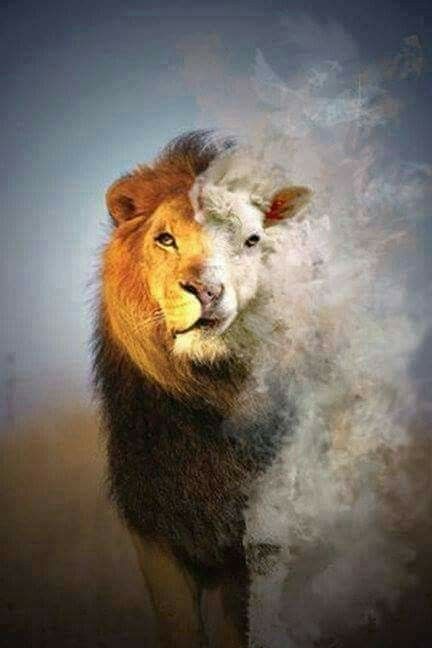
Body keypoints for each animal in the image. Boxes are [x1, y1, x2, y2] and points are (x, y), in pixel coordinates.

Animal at [93, 130, 311, 647]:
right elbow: (180, 624)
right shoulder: (153, 525)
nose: (207, 290)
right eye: (165, 239)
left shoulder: (260, 538)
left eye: (252, 240)